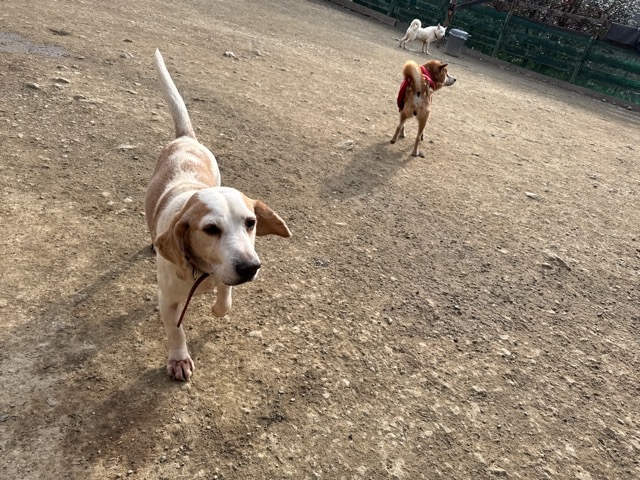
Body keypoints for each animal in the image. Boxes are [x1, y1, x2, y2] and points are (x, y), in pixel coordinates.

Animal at [146, 49, 292, 381]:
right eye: (211, 229)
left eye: (251, 223)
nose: (251, 267)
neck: (204, 272)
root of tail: (186, 139)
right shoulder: (168, 300)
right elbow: (176, 331)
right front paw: (178, 360)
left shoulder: (226, 275)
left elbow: (225, 300)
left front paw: (218, 308)